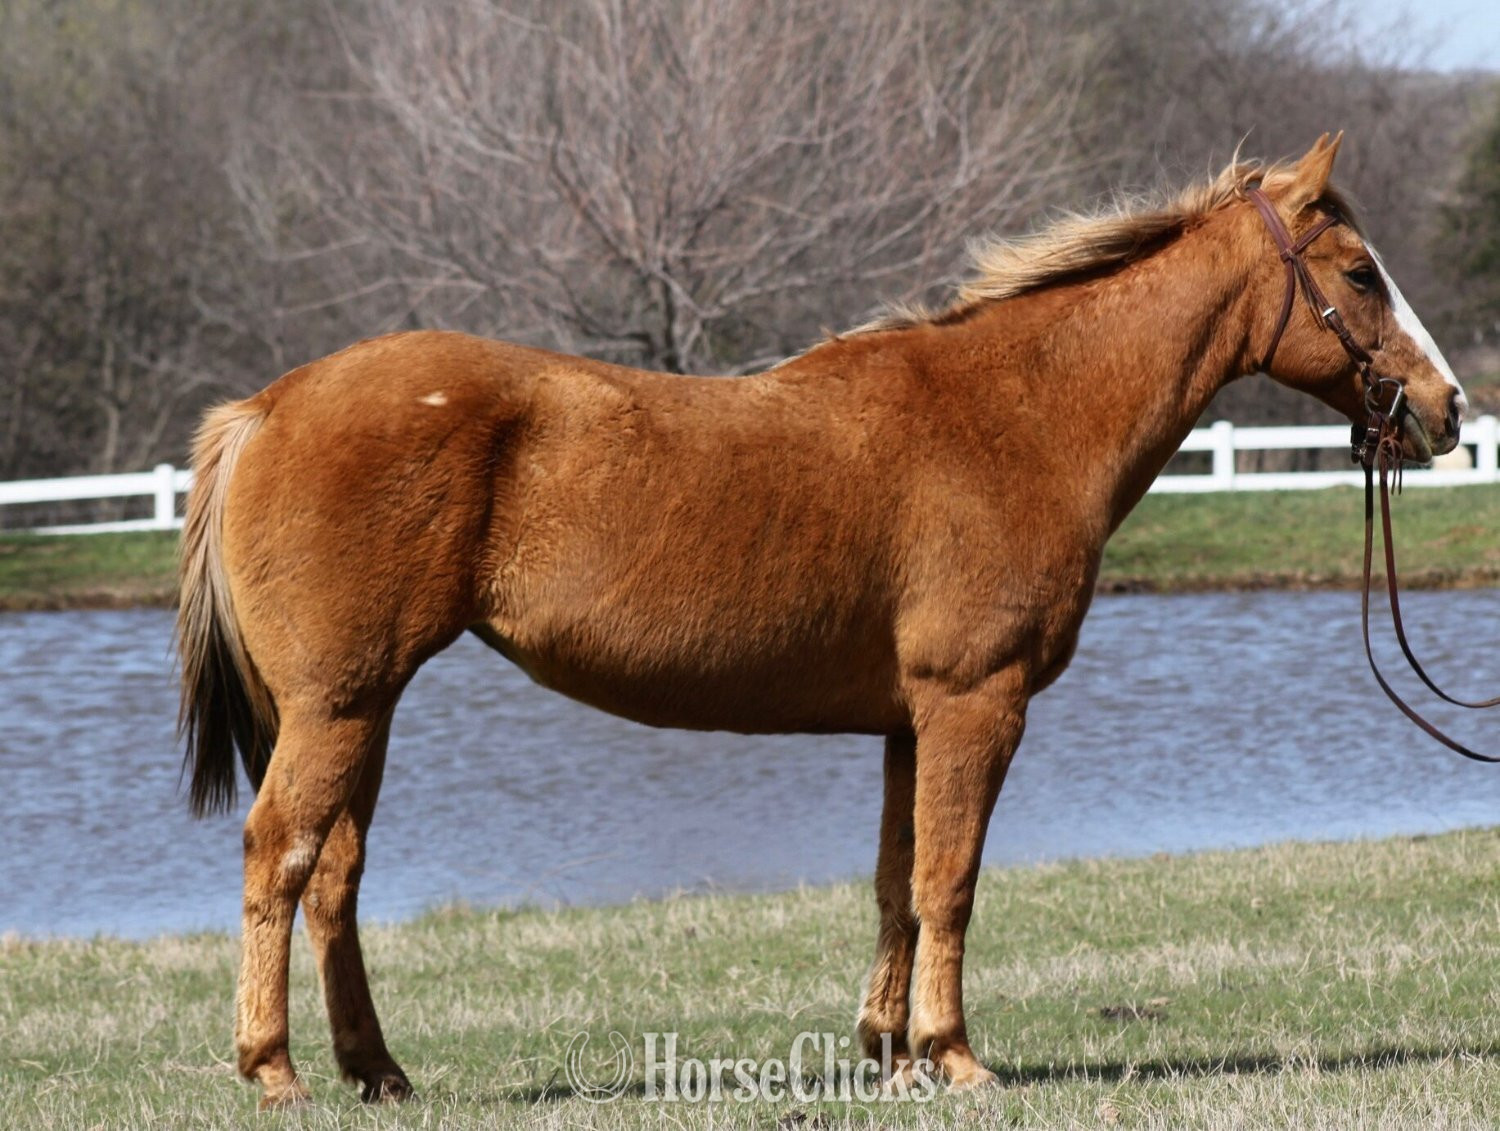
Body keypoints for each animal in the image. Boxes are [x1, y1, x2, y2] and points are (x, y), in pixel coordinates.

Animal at [177, 134, 1465, 1108]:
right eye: (1359, 274)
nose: (1447, 410)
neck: (1017, 415)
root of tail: (267, 406)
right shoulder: (975, 705)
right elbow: (953, 880)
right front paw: (954, 1057)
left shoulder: (908, 724)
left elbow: (898, 882)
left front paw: (889, 1054)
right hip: (339, 703)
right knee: (279, 853)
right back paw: (274, 1069)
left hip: (364, 706)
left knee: (335, 874)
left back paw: (378, 1072)